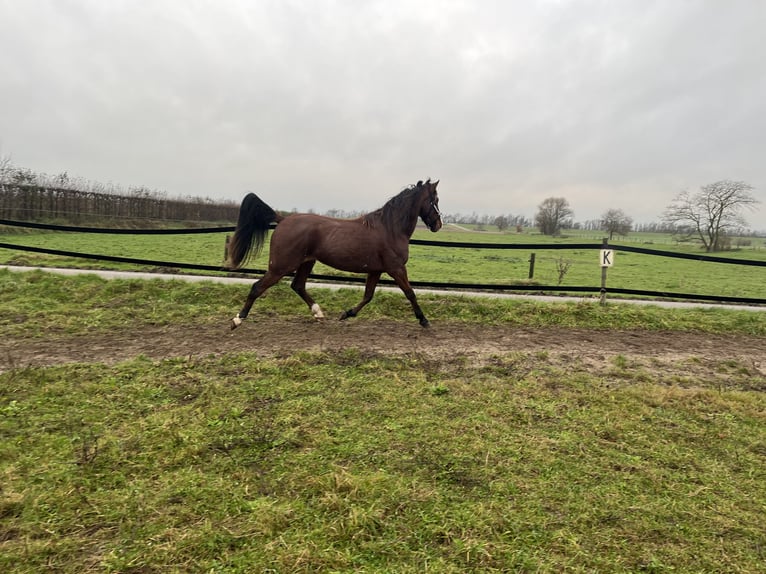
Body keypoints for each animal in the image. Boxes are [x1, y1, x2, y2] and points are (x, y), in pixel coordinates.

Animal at [225, 180, 444, 332]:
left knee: (298, 286)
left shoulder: (376, 270)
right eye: (435, 200)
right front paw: (424, 320)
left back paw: (319, 314)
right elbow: (410, 293)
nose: (438, 225)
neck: (390, 229)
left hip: (307, 262)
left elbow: (368, 296)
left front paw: (346, 314)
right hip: (281, 266)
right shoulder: (396, 268)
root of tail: (283, 219)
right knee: (257, 287)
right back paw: (237, 320)